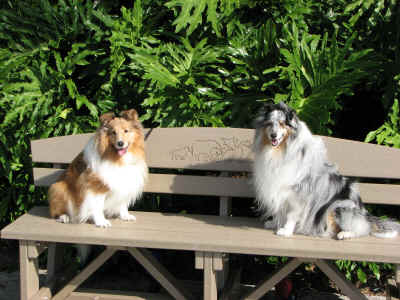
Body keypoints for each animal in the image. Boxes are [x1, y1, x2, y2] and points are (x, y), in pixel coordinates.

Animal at [253, 102, 400, 239]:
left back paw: (343, 234)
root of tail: (365, 214)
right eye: (270, 123)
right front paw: (274, 223)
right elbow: (280, 210)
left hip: (340, 206)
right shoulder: (279, 186)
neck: (281, 150)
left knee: (360, 229)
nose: (273, 135)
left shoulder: (298, 191)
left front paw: (286, 231)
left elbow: (291, 214)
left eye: (283, 124)